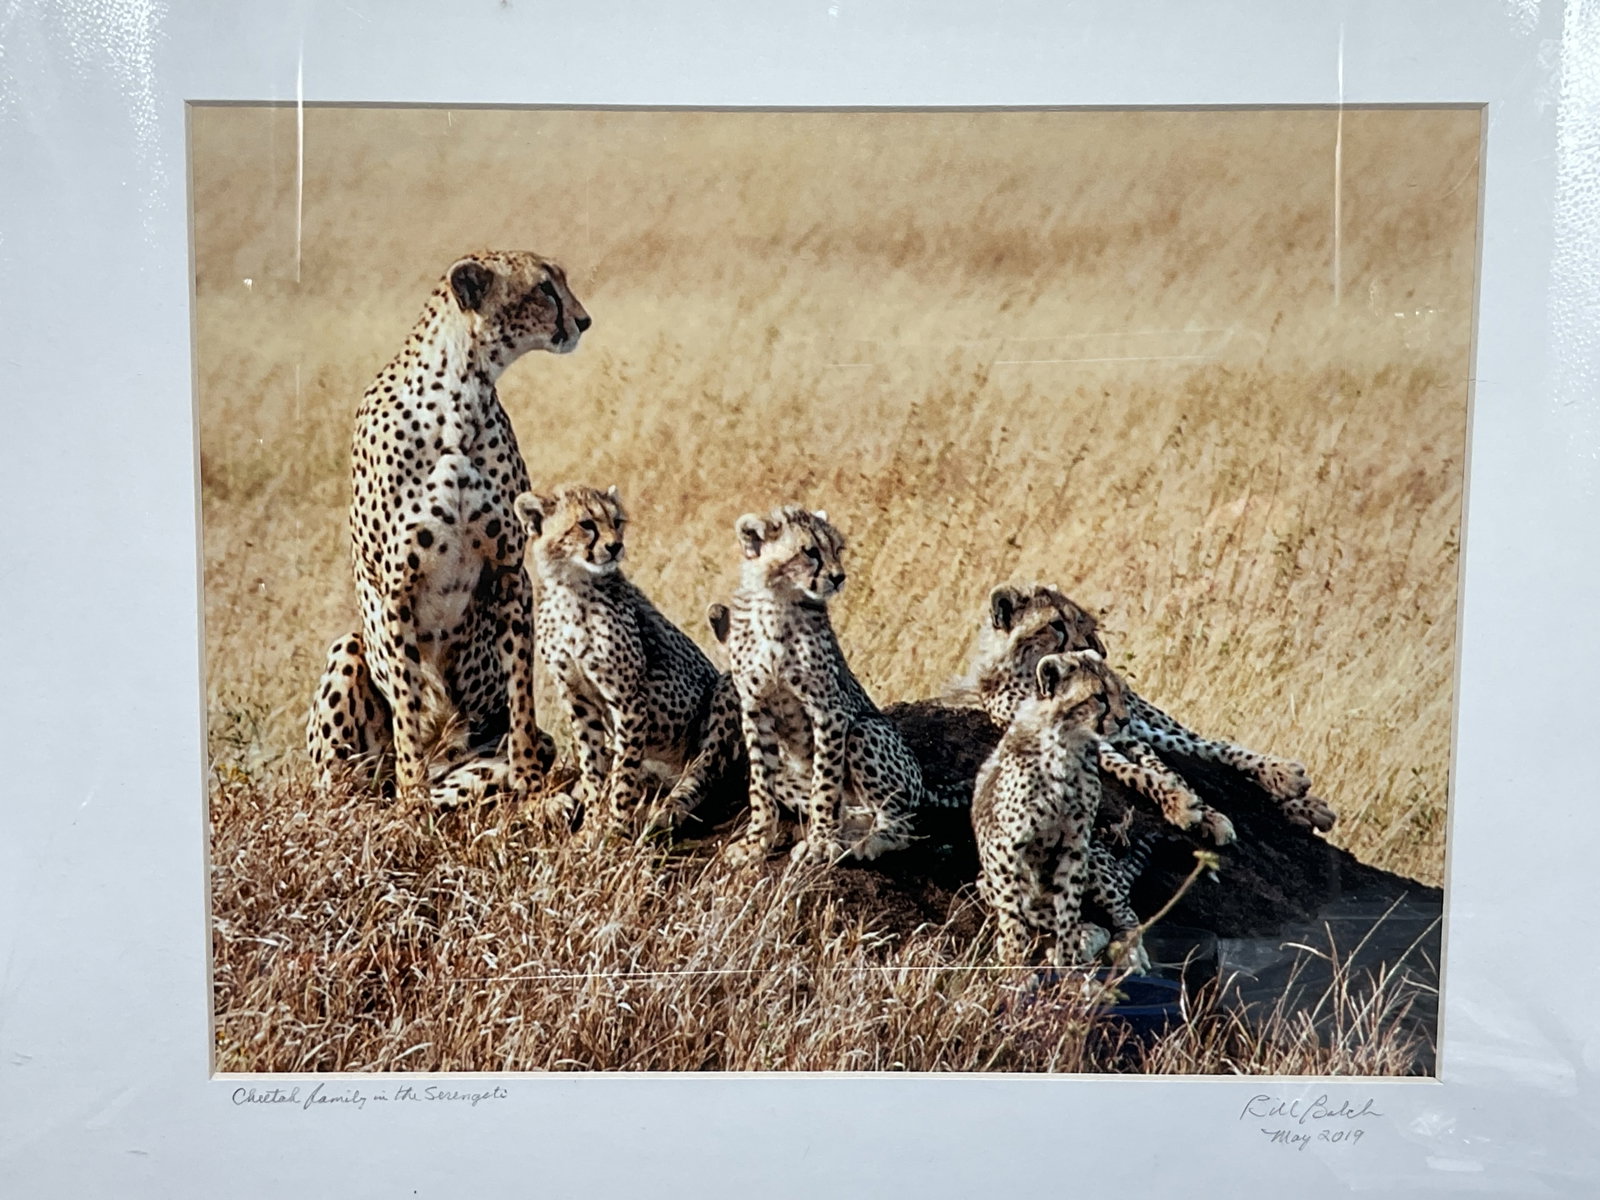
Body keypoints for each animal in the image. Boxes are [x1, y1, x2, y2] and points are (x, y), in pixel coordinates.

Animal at [304, 251, 589, 811]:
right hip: (349, 651)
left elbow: (520, 689)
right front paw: (411, 800)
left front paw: (529, 783)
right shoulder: (395, 590)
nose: (583, 321)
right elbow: (409, 702)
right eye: (544, 288)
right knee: (345, 788)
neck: (459, 400)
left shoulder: (509, 571)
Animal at [516, 484, 741, 834]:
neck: (572, 588)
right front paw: (592, 824)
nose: (615, 546)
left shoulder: (627, 699)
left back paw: (666, 811)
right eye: (586, 524)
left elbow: (624, 772)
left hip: (726, 692)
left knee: (705, 770)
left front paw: (615, 828)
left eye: (617, 521)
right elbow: (592, 764)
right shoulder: (578, 699)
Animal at [719, 506, 932, 867]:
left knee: (902, 823)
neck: (777, 601)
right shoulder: (755, 708)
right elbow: (760, 784)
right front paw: (755, 842)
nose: (839, 577)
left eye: (837, 549)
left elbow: (825, 781)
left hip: (866, 730)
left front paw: (820, 842)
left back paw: (868, 841)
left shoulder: (828, 710)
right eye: (810, 552)